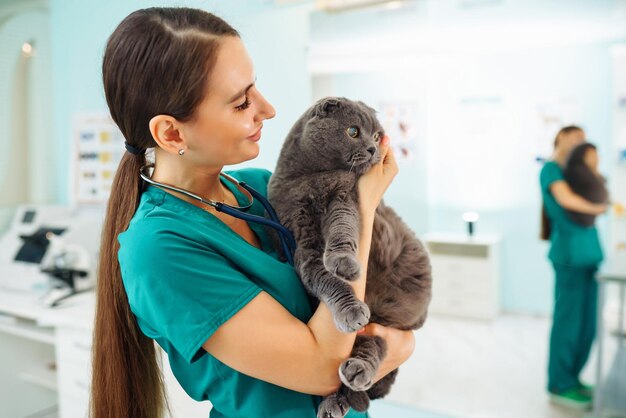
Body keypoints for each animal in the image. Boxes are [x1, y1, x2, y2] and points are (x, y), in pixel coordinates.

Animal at [266, 96, 432, 416]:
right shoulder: (301, 235)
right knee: (375, 342)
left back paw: (353, 376)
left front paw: (344, 263)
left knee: (376, 346)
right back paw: (342, 393)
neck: (312, 177)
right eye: (353, 131)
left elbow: (342, 228)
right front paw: (348, 300)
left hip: (391, 314)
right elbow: (322, 276)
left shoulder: (344, 196)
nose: (372, 149)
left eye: (377, 135)